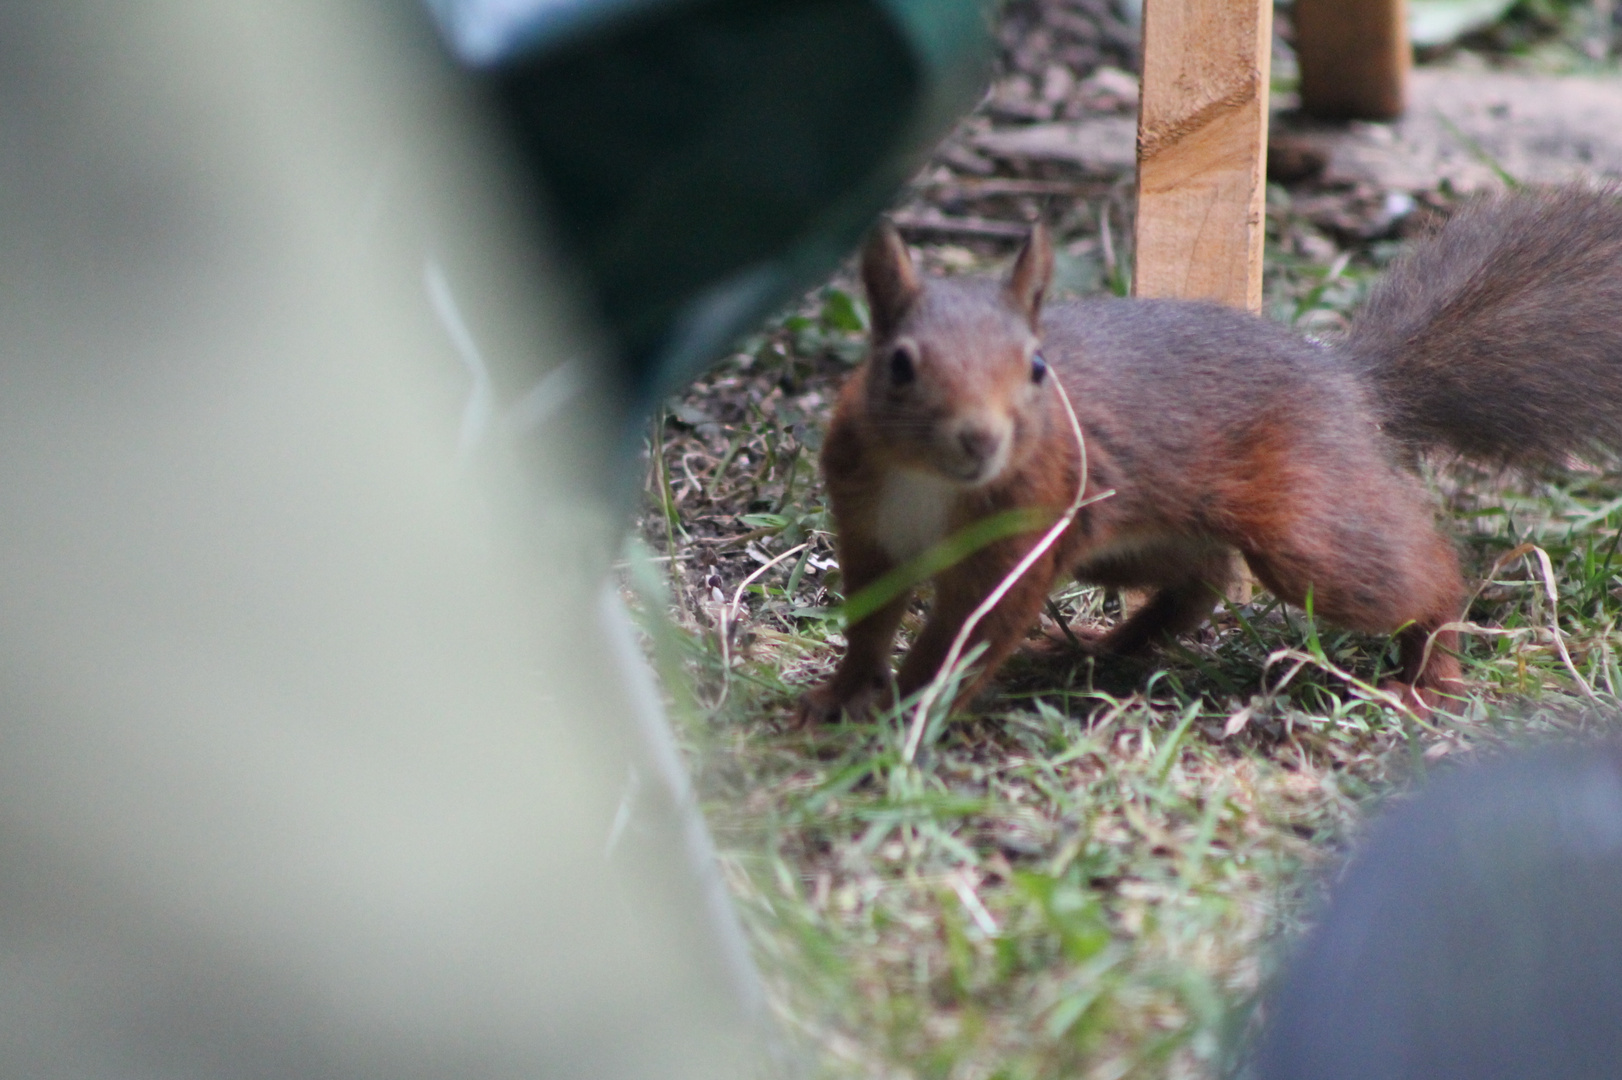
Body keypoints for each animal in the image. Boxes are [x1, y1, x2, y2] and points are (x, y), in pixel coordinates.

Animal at [801, 188, 1622, 720]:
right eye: (898, 365)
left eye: (1037, 367)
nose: (980, 438)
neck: (928, 482)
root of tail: (1346, 377)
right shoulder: (869, 525)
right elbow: (869, 615)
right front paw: (842, 695)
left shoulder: (1023, 534)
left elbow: (966, 634)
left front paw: (902, 715)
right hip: (1129, 538)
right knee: (1199, 585)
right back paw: (1097, 651)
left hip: (1305, 530)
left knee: (1423, 577)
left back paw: (1430, 673)